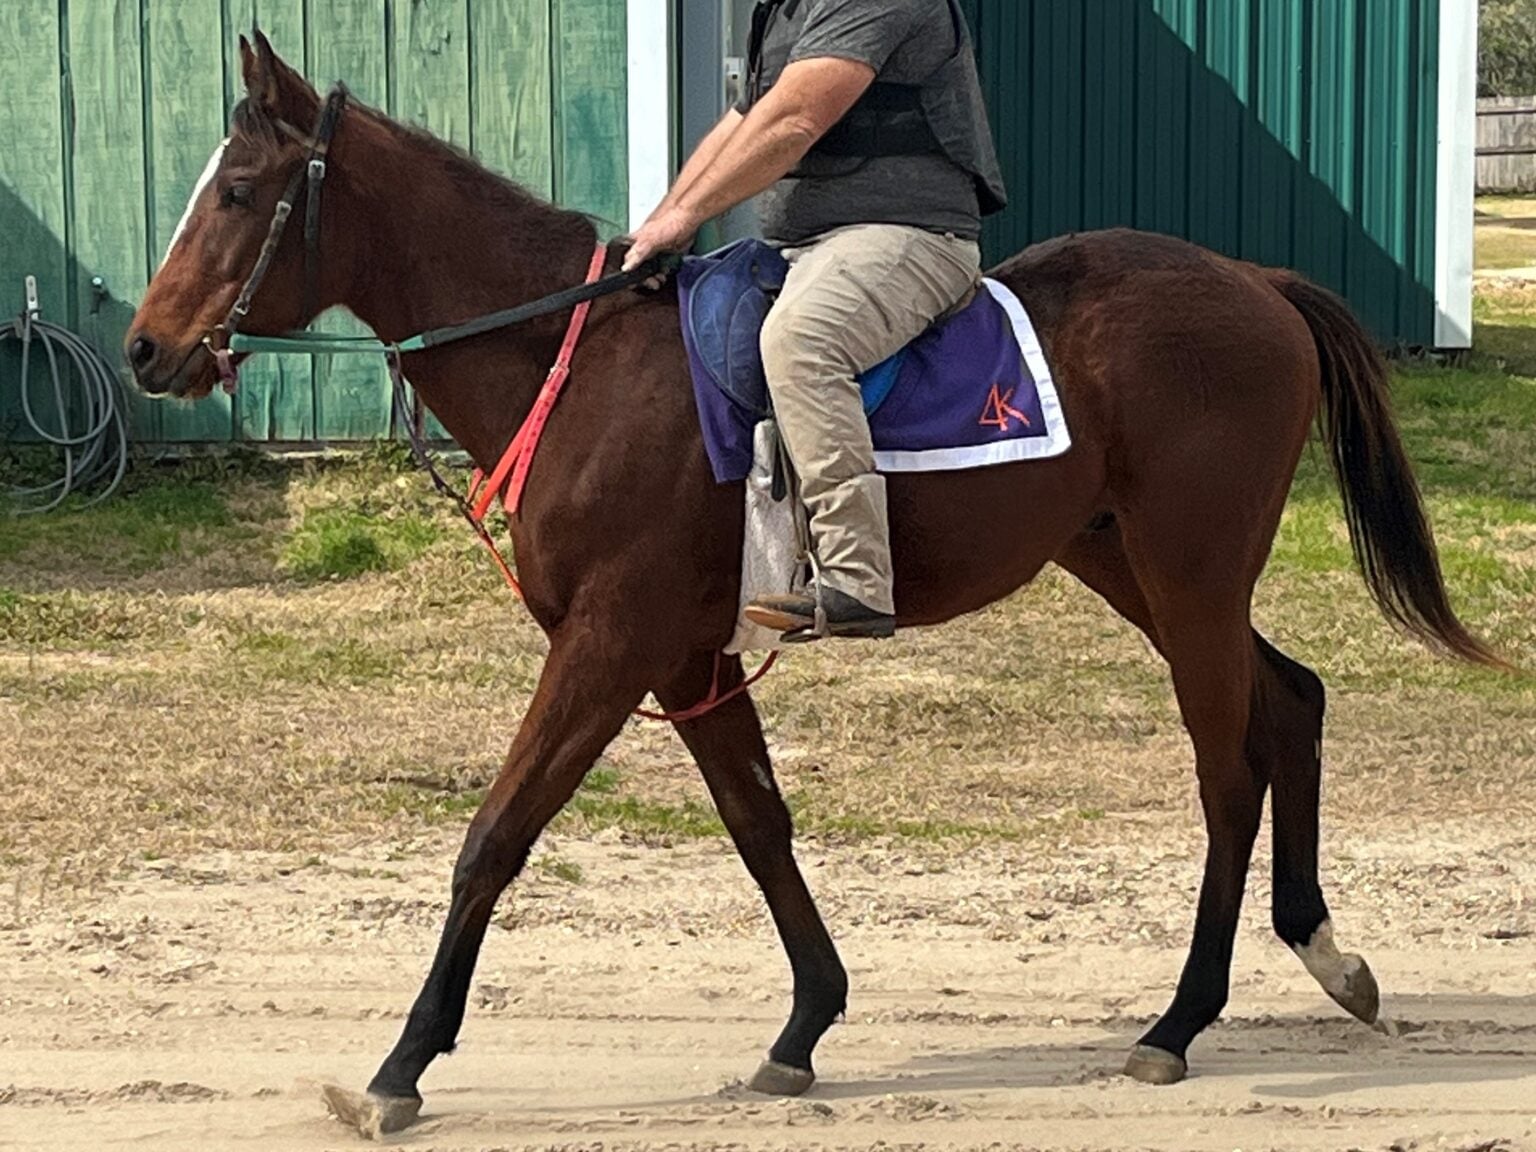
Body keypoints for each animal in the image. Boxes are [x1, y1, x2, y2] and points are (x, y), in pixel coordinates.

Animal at [126, 31, 1500, 1139]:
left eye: (237, 191)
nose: (145, 349)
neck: (578, 356)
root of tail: (1253, 283)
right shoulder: (687, 653)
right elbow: (758, 824)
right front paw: (805, 1026)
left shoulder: (608, 643)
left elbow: (496, 835)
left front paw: (402, 1064)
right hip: (1135, 569)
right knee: (1292, 701)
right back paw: (1325, 952)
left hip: (1191, 576)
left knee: (1227, 769)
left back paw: (1179, 1019)